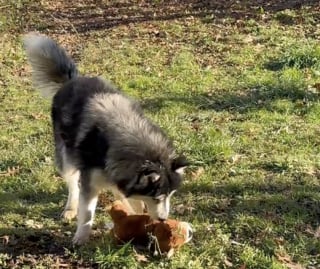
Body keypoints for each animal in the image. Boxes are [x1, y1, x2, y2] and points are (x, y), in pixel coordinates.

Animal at [24, 33, 188, 243]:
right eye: (157, 198)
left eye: (171, 195)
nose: (163, 219)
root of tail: (73, 79)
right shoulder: (90, 181)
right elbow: (87, 213)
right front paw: (81, 237)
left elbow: (134, 202)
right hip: (66, 156)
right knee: (72, 183)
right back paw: (70, 208)